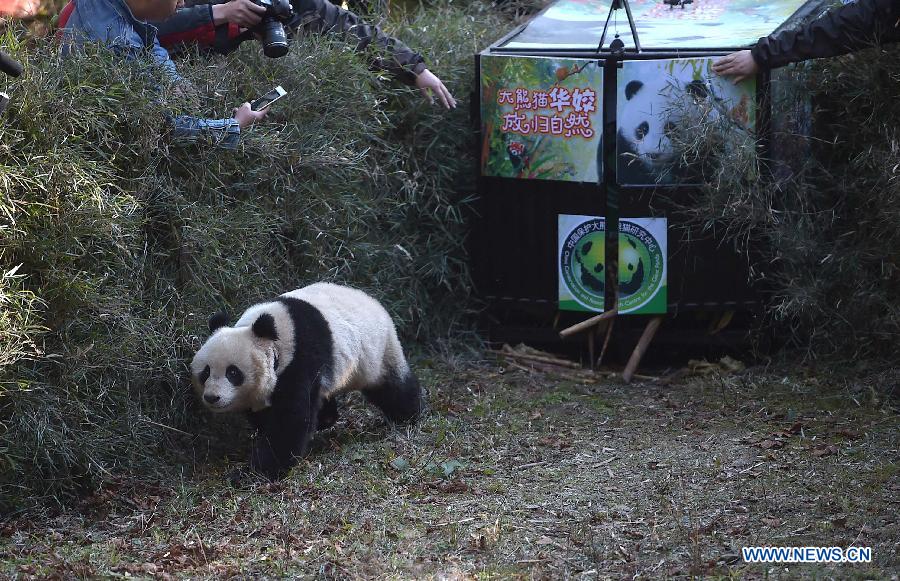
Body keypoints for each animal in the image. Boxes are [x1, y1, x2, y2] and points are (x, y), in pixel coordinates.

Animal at [190, 282, 422, 480]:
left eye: (233, 372)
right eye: (205, 372)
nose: (212, 397)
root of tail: (375, 302)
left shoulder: (300, 359)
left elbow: (290, 419)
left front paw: (256, 472)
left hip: (377, 352)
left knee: (392, 388)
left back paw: (409, 415)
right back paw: (326, 417)